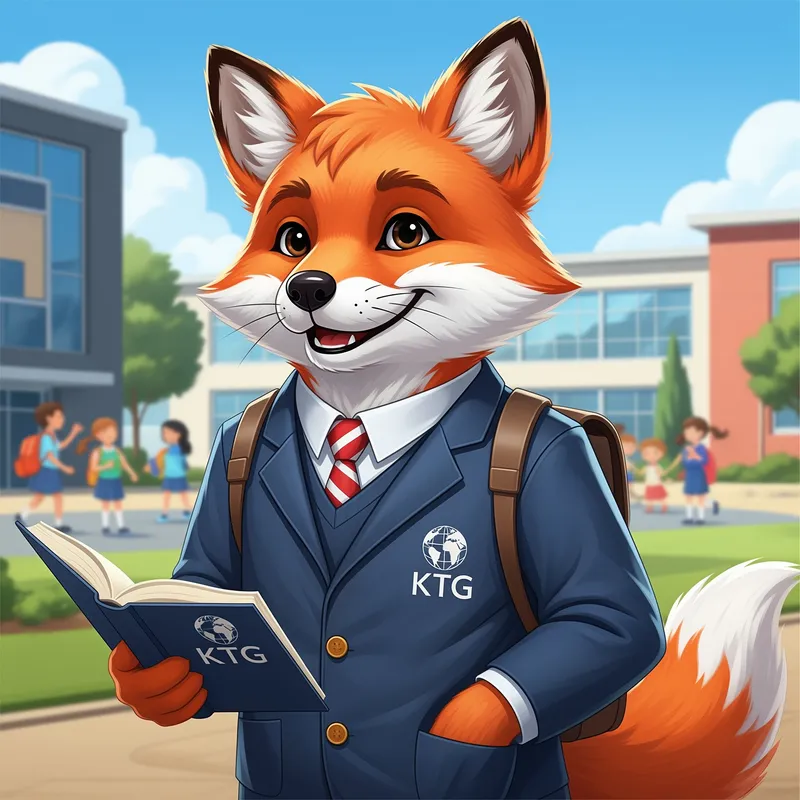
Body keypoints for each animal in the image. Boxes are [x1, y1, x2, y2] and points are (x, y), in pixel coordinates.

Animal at [109, 17, 799, 800]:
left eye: (406, 232)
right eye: (293, 239)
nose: (307, 286)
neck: (363, 408)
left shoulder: (559, 471)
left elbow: (608, 618)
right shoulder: (231, 459)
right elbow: (204, 578)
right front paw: (156, 678)